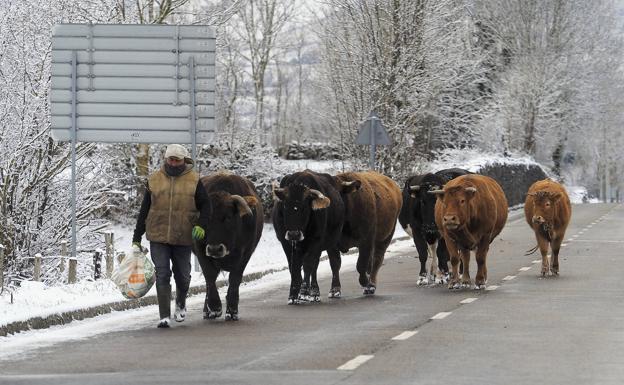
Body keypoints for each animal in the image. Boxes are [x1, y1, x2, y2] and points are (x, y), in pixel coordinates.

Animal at [195, 172, 264, 320]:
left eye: (227, 217)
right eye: (206, 217)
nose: (215, 249)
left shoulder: (245, 254)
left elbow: (235, 279)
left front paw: (232, 310)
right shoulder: (200, 250)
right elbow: (209, 277)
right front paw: (214, 306)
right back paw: (207, 311)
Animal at [272, 170, 344, 304]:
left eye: (304, 207)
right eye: (285, 205)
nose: (294, 234)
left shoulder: (316, 241)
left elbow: (308, 265)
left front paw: (304, 292)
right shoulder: (286, 243)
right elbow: (294, 267)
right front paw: (293, 294)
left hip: (331, 243)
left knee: (331, 263)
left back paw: (326, 291)